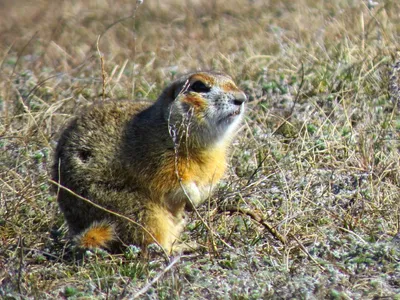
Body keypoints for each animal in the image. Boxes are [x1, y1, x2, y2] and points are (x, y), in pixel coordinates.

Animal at [52, 72, 247, 253]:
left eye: (231, 79)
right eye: (199, 86)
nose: (242, 98)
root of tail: (78, 227)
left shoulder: (216, 163)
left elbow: (208, 183)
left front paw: (198, 200)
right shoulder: (159, 158)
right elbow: (174, 181)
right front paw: (192, 197)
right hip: (138, 211)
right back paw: (180, 247)